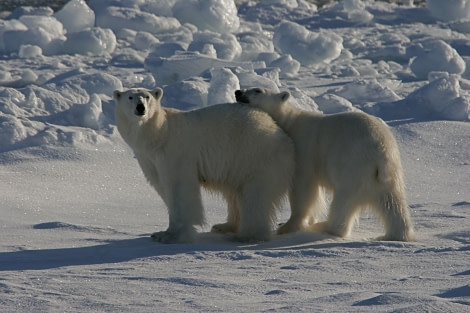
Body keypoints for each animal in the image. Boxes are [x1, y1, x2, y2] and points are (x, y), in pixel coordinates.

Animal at [113, 86, 294, 243]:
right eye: (130, 97)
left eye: (147, 97)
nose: (140, 107)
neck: (159, 134)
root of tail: (280, 133)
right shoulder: (149, 159)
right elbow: (162, 187)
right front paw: (161, 233)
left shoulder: (176, 151)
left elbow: (179, 187)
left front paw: (173, 235)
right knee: (235, 193)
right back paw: (224, 226)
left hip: (255, 156)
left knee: (255, 196)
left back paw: (246, 235)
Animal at [237, 86, 416, 240]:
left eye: (257, 90)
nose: (238, 92)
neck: (289, 123)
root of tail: (381, 152)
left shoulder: (304, 150)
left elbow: (303, 188)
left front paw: (288, 226)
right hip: (388, 176)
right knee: (393, 204)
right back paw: (398, 235)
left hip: (354, 166)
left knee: (343, 200)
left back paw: (325, 226)